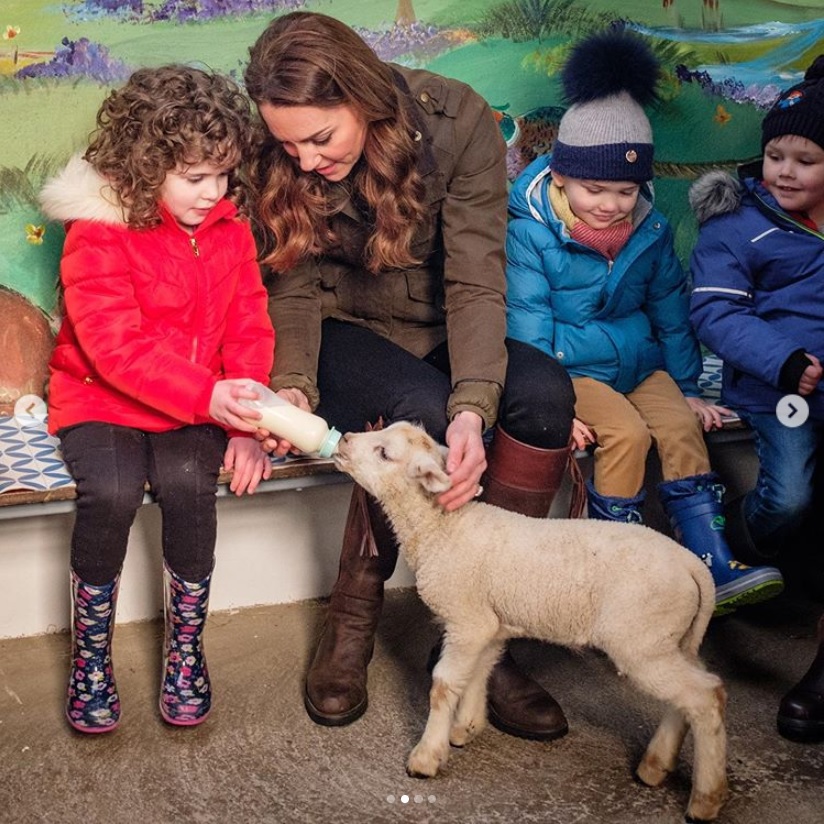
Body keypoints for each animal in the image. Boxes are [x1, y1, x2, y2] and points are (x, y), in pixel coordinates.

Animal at [334, 422, 728, 820]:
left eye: (385, 453)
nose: (345, 439)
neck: (443, 528)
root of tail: (694, 567)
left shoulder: (467, 619)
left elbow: (444, 684)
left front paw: (427, 755)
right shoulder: (488, 623)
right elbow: (479, 672)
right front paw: (466, 727)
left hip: (641, 639)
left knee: (706, 695)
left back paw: (705, 799)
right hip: (670, 638)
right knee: (691, 691)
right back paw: (655, 765)